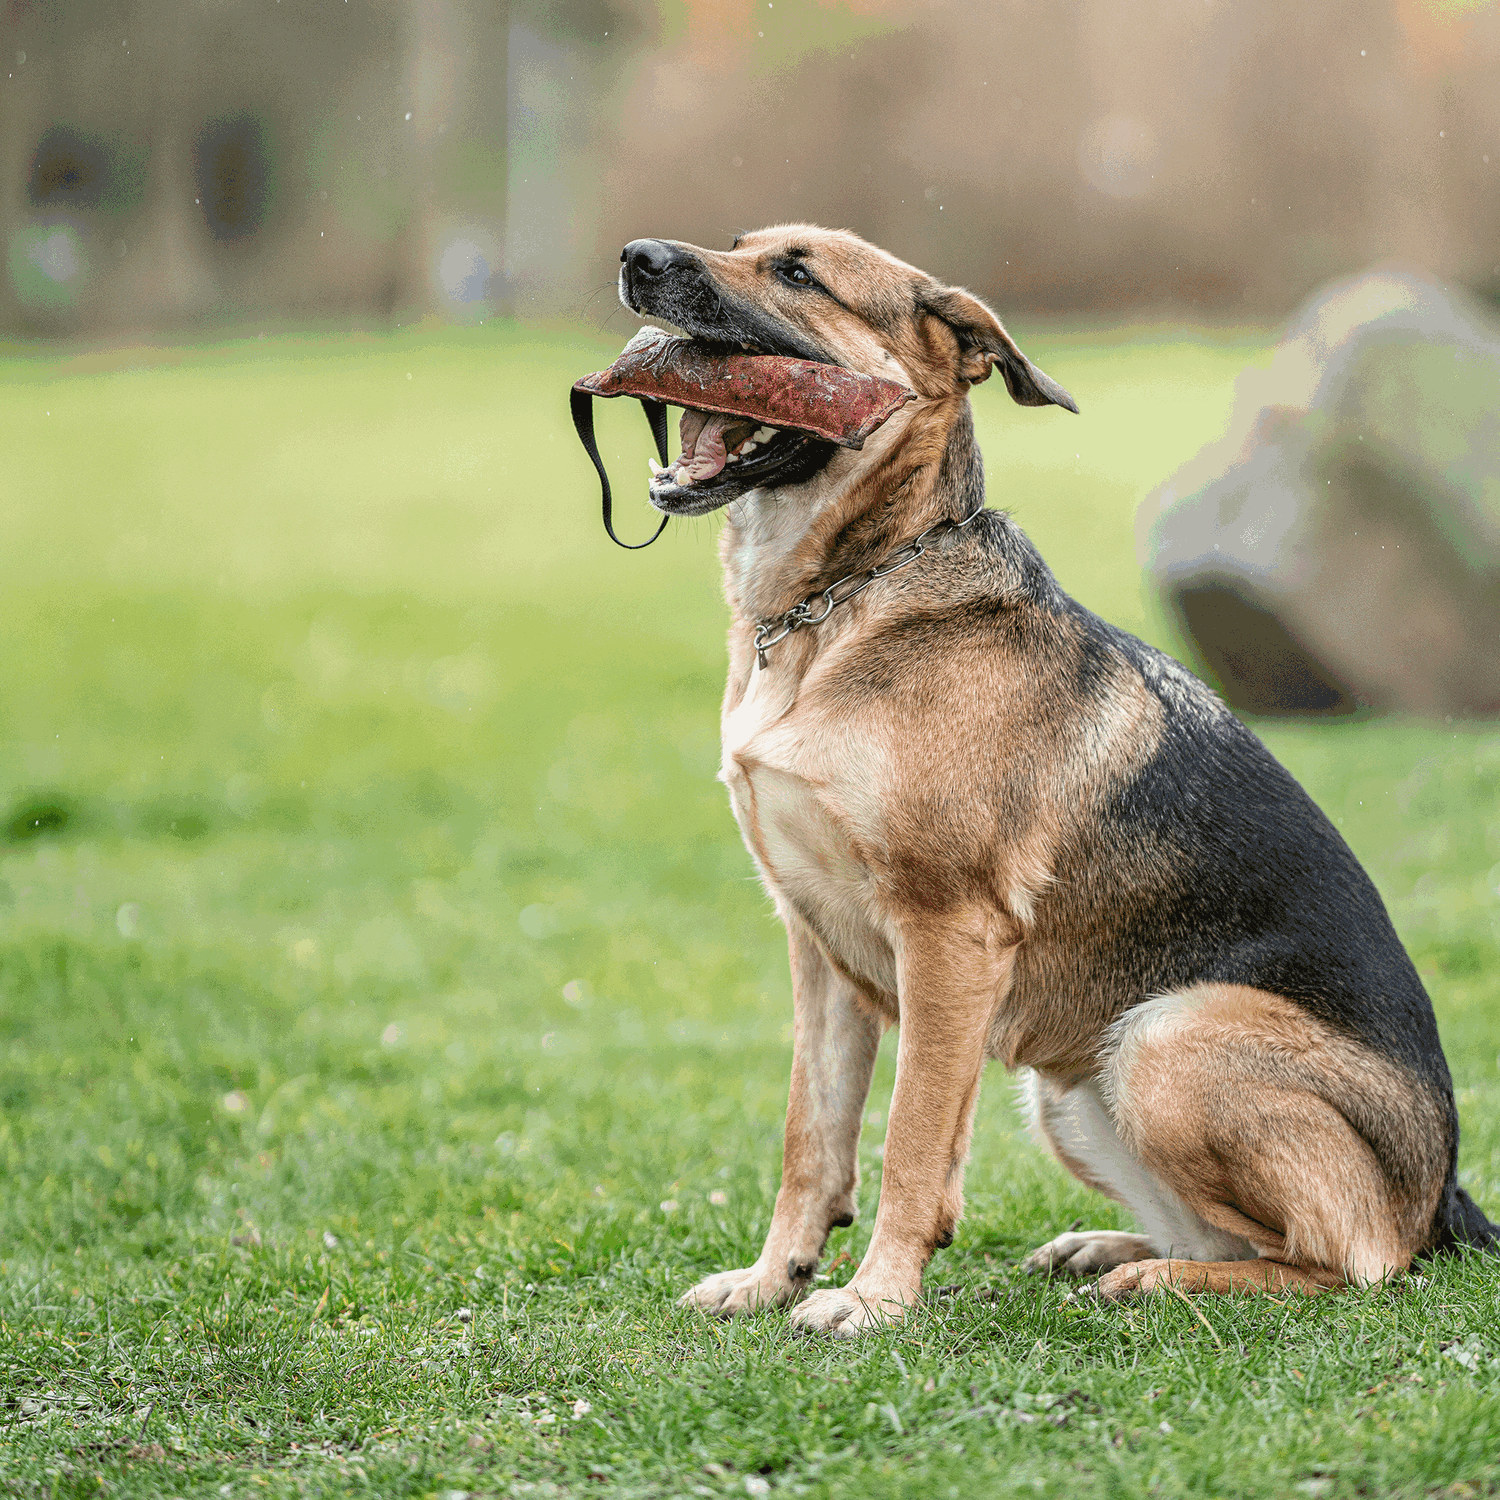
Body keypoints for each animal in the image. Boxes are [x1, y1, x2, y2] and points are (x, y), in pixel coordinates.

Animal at [615, 225, 1494, 1338]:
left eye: (800, 274)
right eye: (740, 246)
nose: (638, 257)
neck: (840, 604)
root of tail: (1445, 1198)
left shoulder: (948, 938)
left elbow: (911, 1142)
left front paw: (876, 1298)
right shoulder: (818, 953)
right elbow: (810, 1139)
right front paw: (774, 1278)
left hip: (1165, 1036)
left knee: (1355, 1260)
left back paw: (1158, 1280)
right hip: (1073, 1087)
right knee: (1252, 1237)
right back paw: (1115, 1249)